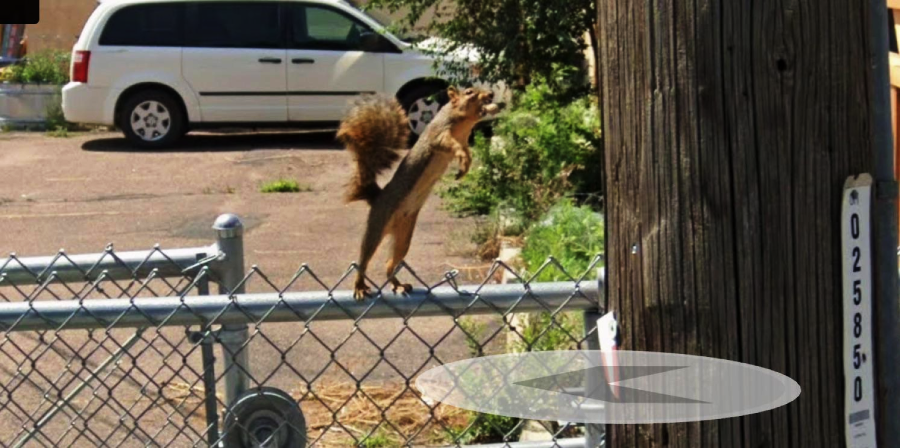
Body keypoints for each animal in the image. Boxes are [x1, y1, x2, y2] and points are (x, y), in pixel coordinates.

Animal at [338, 86, 500, 300]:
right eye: (469, 92)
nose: (490, 94)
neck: (463, 124)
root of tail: (377, 198)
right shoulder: (439, 136)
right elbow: (454, 146)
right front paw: (462, 160)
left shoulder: (464, 141)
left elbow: (467, 153)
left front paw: (464, 167)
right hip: (377, 224)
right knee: (363, 261)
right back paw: (359, 286)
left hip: (404, 236)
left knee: (389, 264)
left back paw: (398, 285)